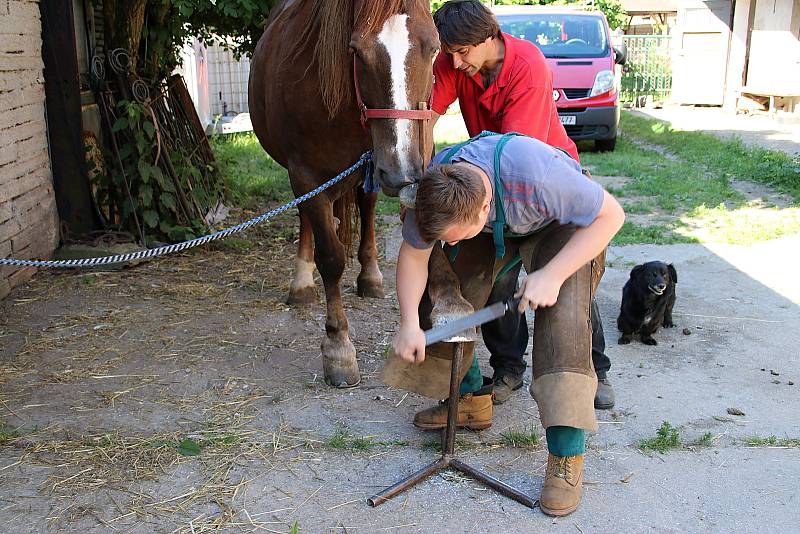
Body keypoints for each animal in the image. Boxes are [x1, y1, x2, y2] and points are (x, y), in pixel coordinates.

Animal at [248, 0, 438, 386]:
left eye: (434, 48)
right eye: (356, 51)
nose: (400, 171)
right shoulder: (305, 175)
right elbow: (331, 257)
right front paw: (338, 348)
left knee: (366, 207)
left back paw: (370, 276)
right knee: (307, 220)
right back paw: (302, 281)